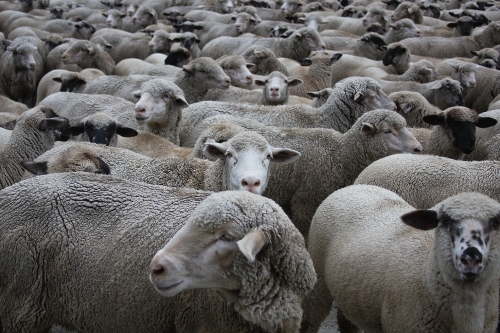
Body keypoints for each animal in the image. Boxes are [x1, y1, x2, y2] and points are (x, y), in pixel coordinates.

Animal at [302, 184, 500, 332]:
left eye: (496, 222)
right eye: (445, 220)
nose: (471, 257)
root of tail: (353, 186)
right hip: (318, 278)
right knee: (310, 318)